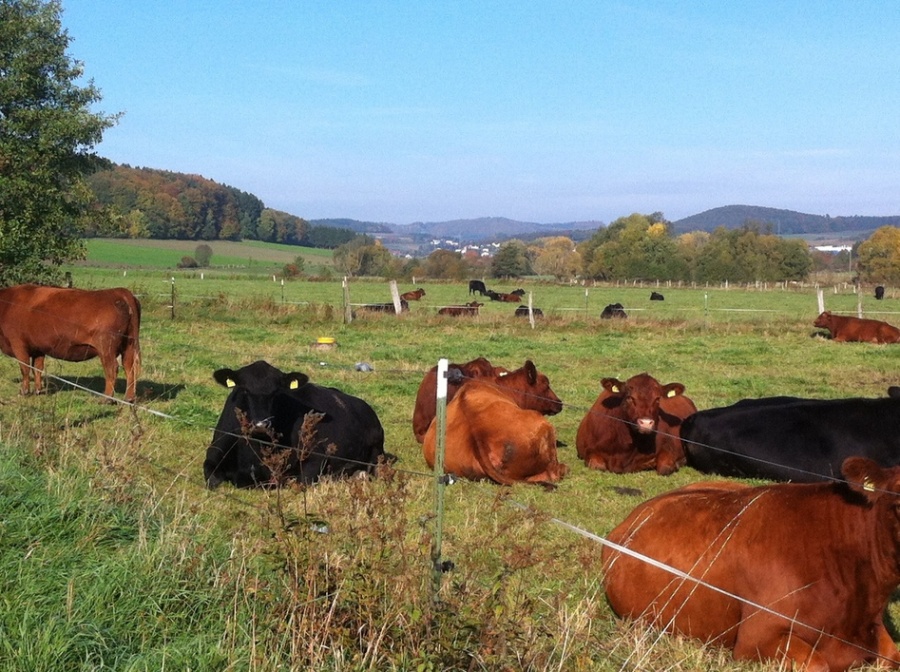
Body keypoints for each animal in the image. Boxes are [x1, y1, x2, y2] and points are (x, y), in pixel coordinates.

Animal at [0, 282, 141, 400]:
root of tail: (120, 291)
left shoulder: (18, 344)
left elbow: (25, 368)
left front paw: (23, 392)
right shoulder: (38, 348)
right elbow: (37, 369)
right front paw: (38, 391)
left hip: (106, 347)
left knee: (112, 369)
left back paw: (106, 399)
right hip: (129, 345)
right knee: (130, 368)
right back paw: (129, 398)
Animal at [202, 362, 384, 488]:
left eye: (277, 392)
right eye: (244, 390)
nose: (261, 424)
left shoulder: (315, 458)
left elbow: (301, 480)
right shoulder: (213, 455)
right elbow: (211, 480)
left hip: (377, 450)